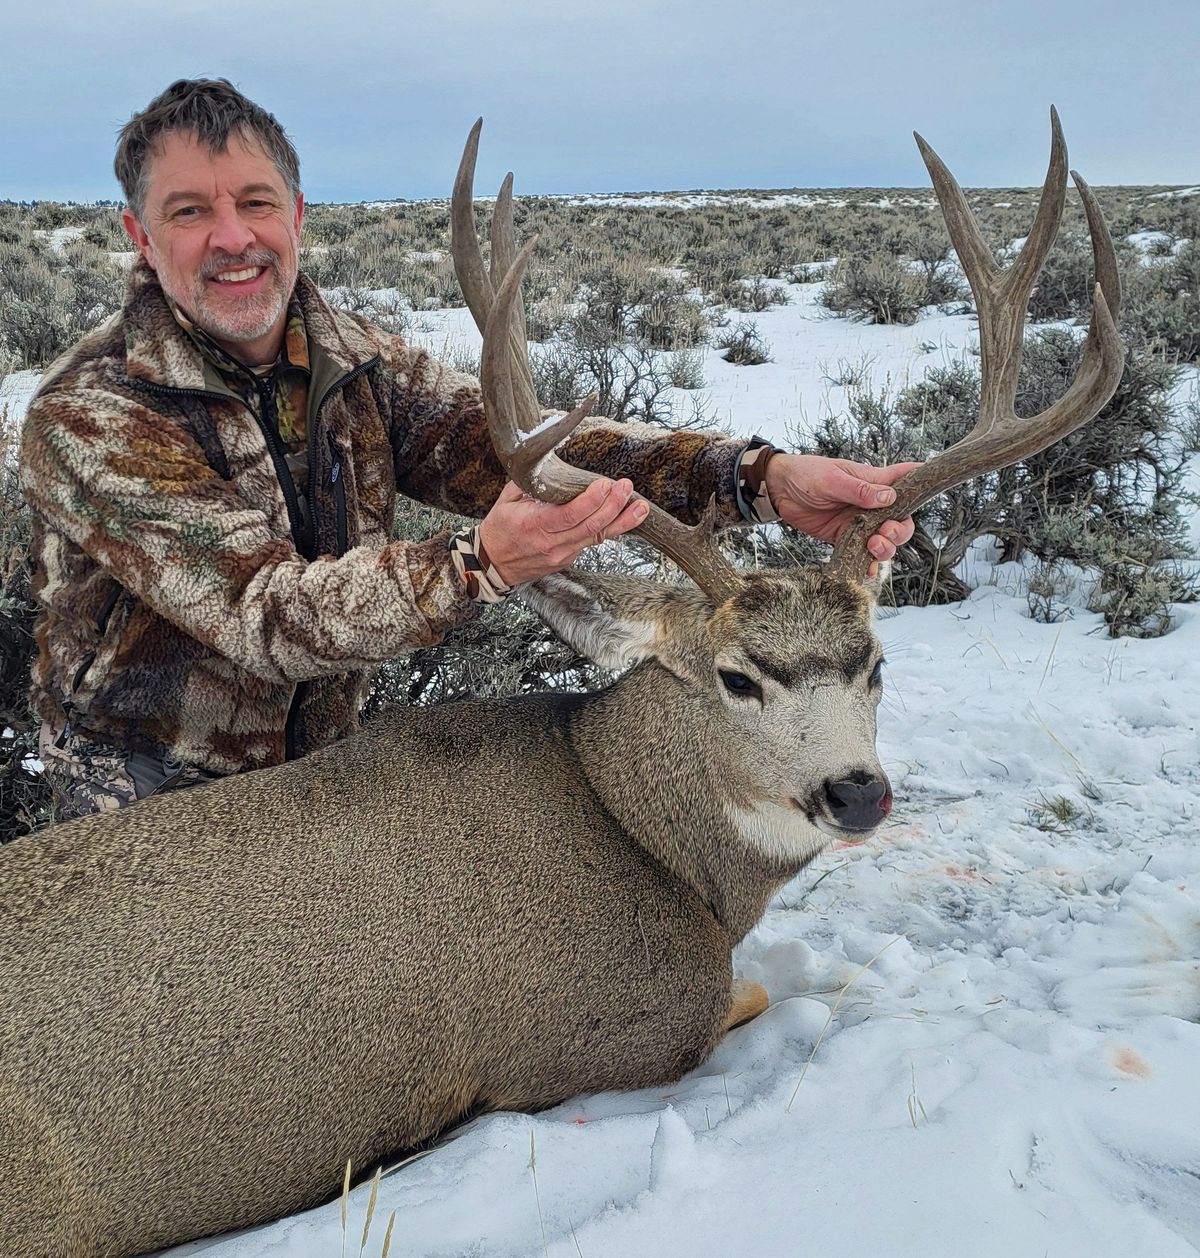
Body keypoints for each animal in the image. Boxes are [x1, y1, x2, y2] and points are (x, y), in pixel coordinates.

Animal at [2, 110, 1122, 1258]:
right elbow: (759, 994)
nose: (856, 791)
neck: (643, 832)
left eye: (877, 663)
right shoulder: (614, 1029)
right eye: (737, 677)